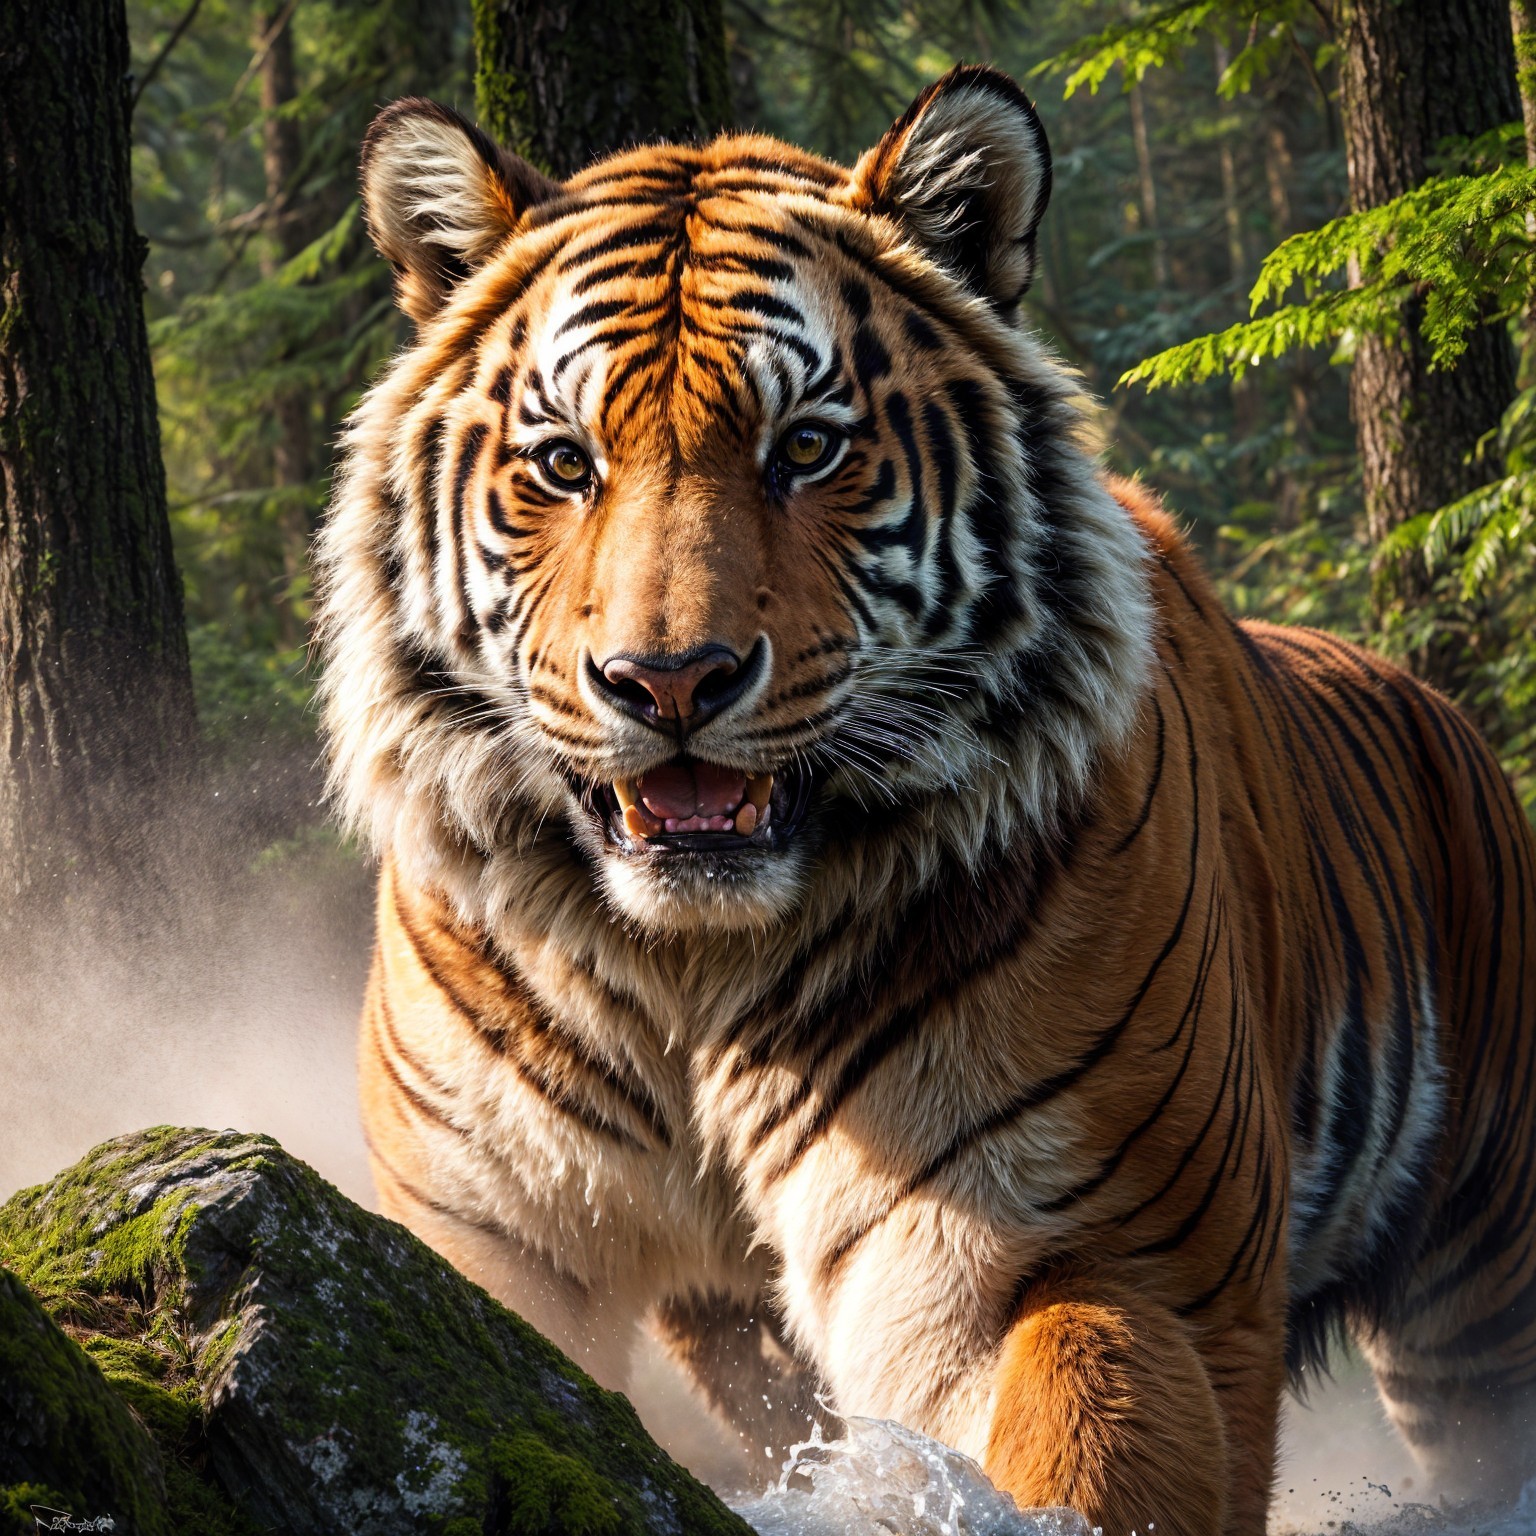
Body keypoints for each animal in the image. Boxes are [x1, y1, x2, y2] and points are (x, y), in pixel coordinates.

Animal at [314, 65, 1536, 1534]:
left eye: (807, 447)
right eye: (563, 464)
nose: (668, 680)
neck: (691, 971)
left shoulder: (1096, 1243)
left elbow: (1091, 1427)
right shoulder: (479, 1238)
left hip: (1484, 1279)